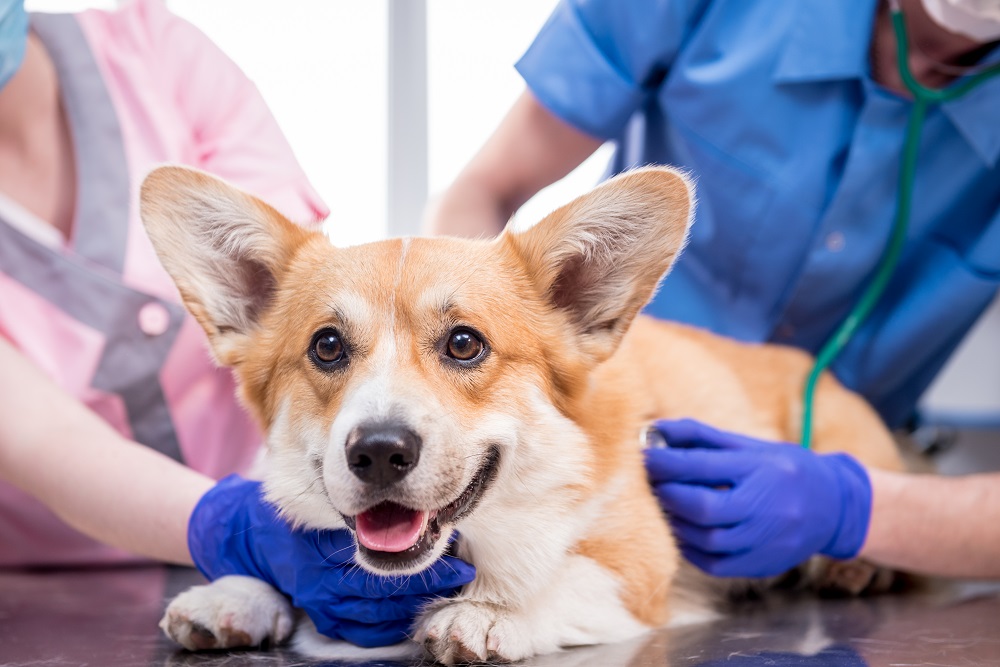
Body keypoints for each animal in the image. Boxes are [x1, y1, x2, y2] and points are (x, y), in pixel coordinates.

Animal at [143, 166, 908, 664]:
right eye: (326, 346)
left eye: (464, 343)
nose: (380, 451)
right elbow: (281, 562)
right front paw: (235, 592)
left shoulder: (640, 570)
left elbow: (557, 577)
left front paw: (489, 614)